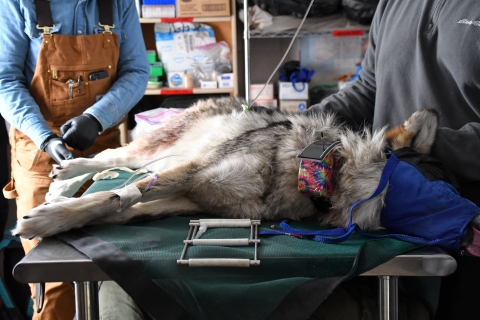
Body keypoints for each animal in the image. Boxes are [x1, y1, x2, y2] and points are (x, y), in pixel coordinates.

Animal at [10, 97, 480, 250]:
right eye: (444, 195)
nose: (470, 236)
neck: (315, 174)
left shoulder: (187, 196)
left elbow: (124, 208)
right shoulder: (191, 173)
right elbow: (108, 197)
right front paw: (47, 219)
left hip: (169, 159)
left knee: (129, 166)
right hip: (165, 148)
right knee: (115, 155)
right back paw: (71, 168)